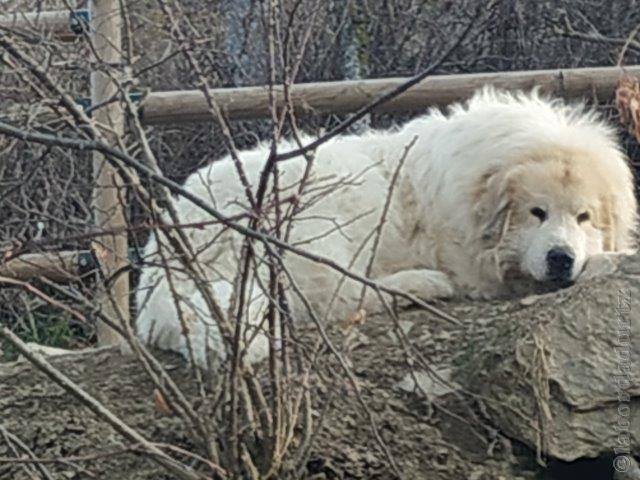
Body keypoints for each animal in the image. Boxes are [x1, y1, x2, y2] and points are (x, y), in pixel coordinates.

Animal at [138, 87, 636, 364]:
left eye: (584, 217)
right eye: (537, 213)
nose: (561, 257)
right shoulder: (479, 267)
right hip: (320, 221)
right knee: (335, 302)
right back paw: (422, 285)